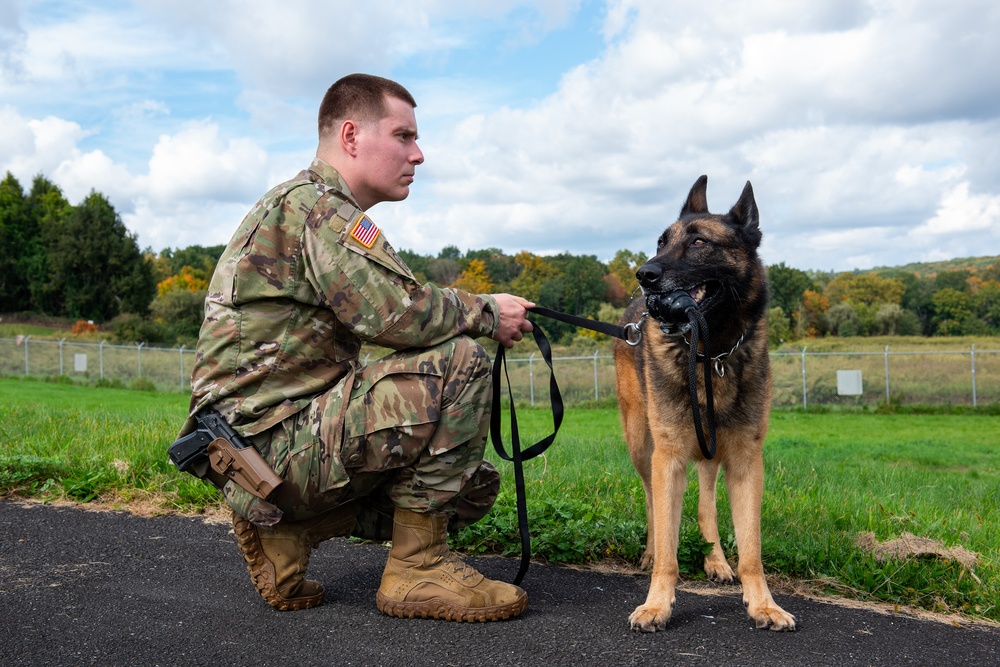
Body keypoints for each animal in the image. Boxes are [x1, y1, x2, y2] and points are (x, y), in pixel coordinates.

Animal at [608, 175, 796, 636]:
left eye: (698, 242)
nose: (644, 274)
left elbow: (751, 550)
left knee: (706, 502)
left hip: (710, 450)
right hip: (642, 445)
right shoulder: (669, 457)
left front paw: (763, 603)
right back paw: (650, 553)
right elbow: (669, 546)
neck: (711, 354)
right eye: (661, 241)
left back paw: (715, 560)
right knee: (651, 503)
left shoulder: (746, 461)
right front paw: (657, 603)